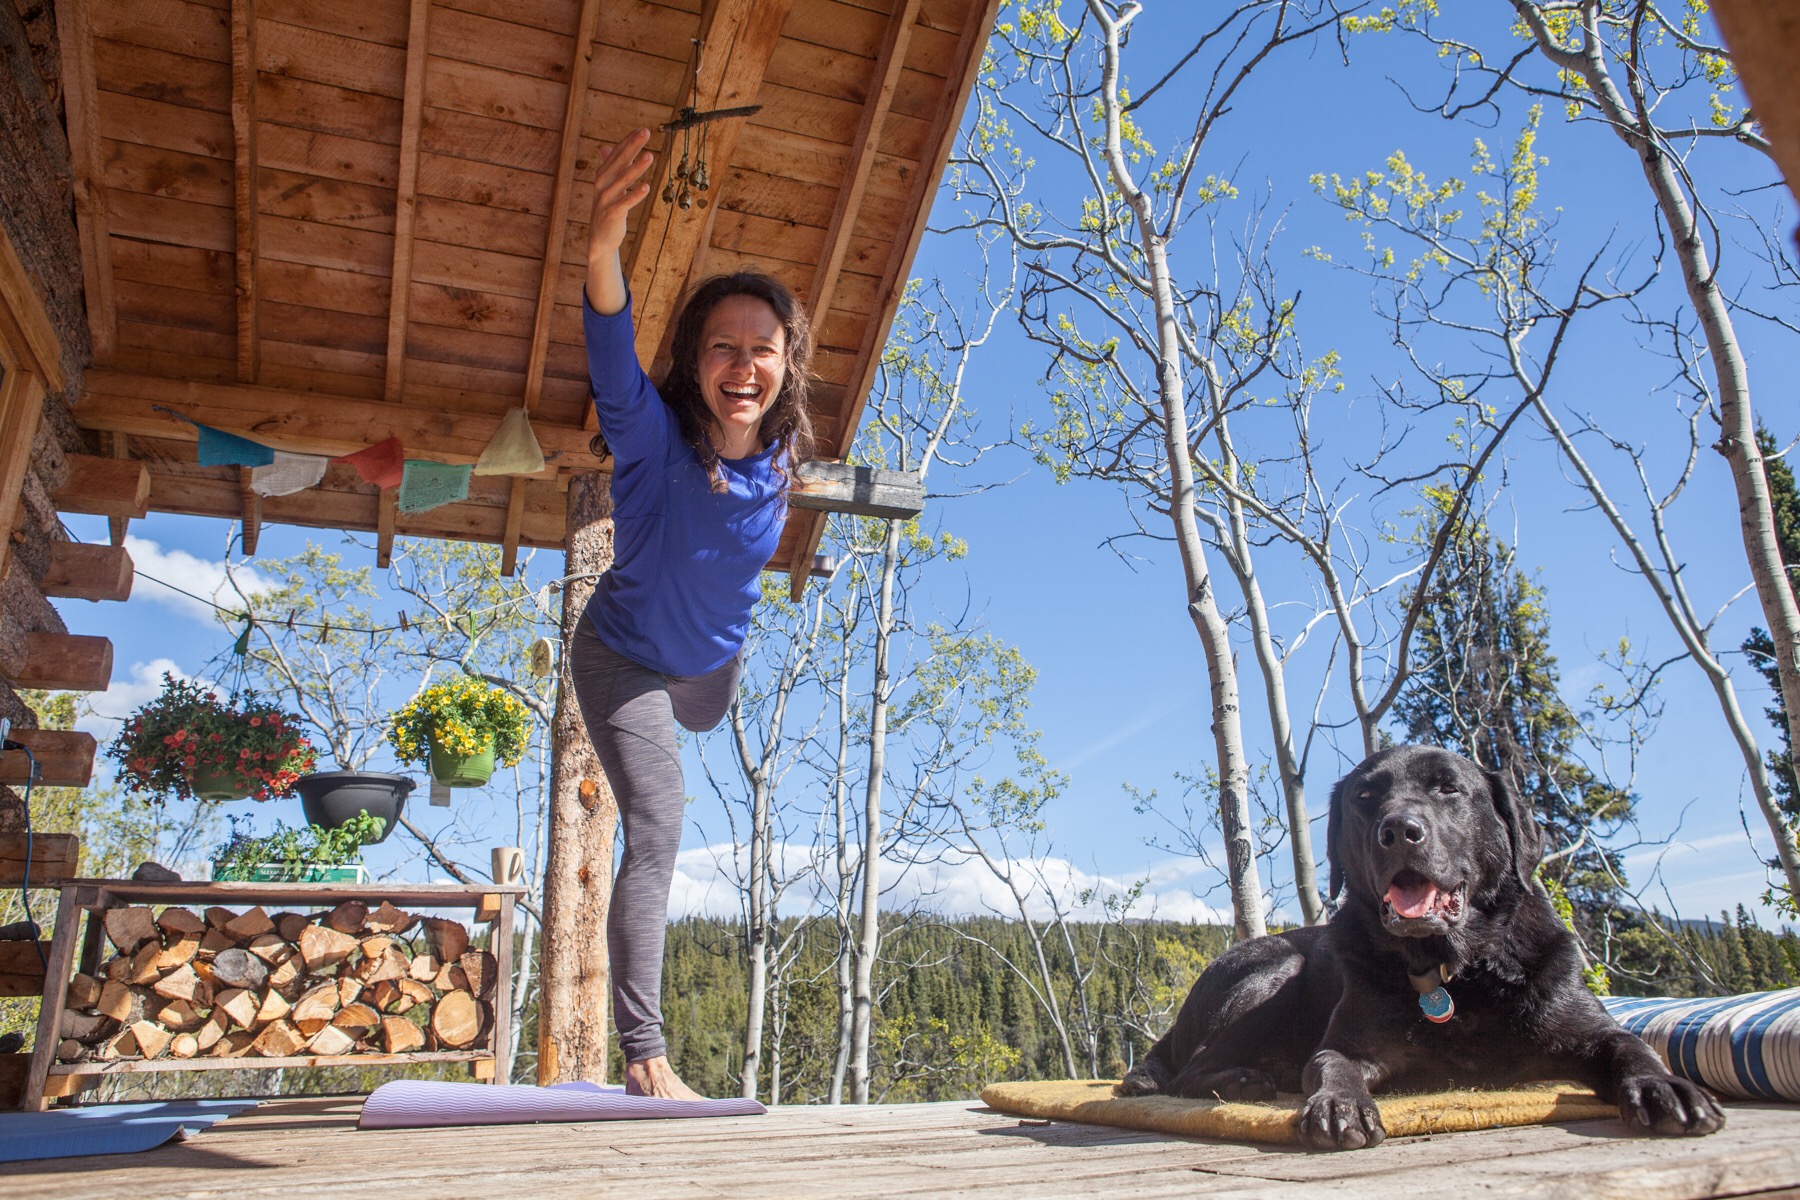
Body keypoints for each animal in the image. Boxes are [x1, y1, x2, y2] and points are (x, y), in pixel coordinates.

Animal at [1116, 744, 1720, 1151]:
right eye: (1364, 797)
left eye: (1449, 789)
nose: (1398, 830)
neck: (1458, 970)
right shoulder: (1349, 1045)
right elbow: (1331, 1066)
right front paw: (1339, 1104)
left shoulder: (1584, 1026)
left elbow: (1631, 1046)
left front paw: (1666, 1087)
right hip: (1277, 967)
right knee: (1187, 1073)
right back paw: (1248, 1080)